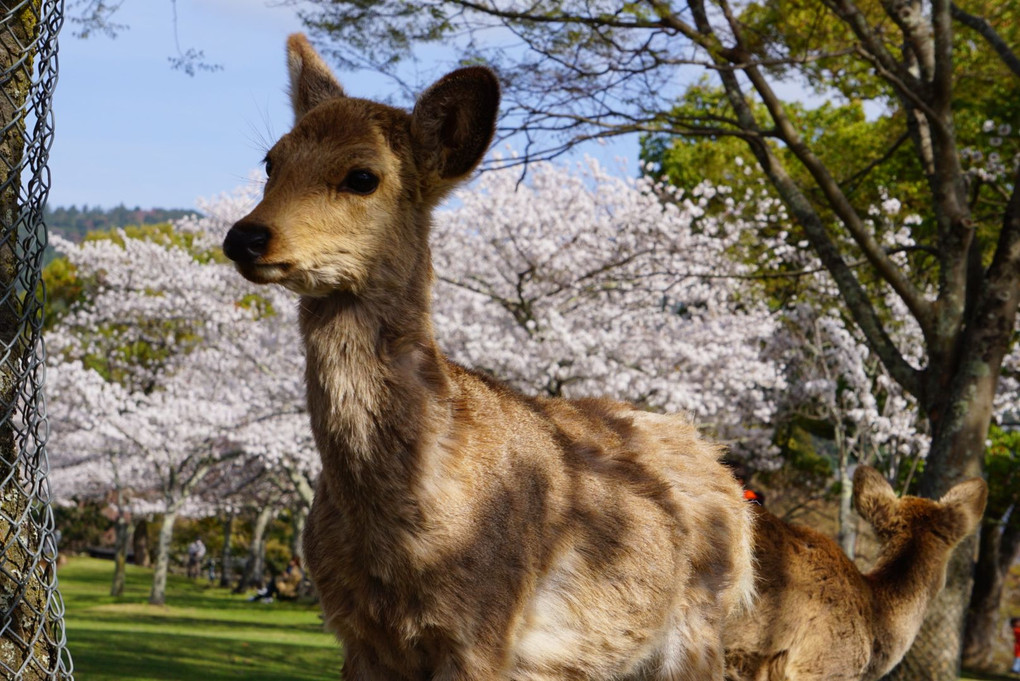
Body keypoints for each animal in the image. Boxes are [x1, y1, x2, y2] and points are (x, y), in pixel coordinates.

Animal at [219, 35, 754, 681]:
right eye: (272, 162)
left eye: (363, 176)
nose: (246, 237)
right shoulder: (356, 634)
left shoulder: (485, 626)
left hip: (699, 624)